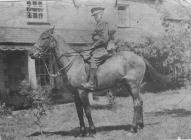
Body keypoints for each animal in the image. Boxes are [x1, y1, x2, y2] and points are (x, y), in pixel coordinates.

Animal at [30, 27, 172, 136]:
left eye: (44, 37)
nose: (32, 53)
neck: (73, 64)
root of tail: (139, 57)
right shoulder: (74, 94)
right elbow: (79, 112)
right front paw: (82, 132)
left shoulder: (82, 92)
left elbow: (87, 111)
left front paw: (92, 131)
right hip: (130, 86)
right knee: (140, 102)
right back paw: (140, 125)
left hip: (133, 85)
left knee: (136, 104)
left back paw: (133, 128)